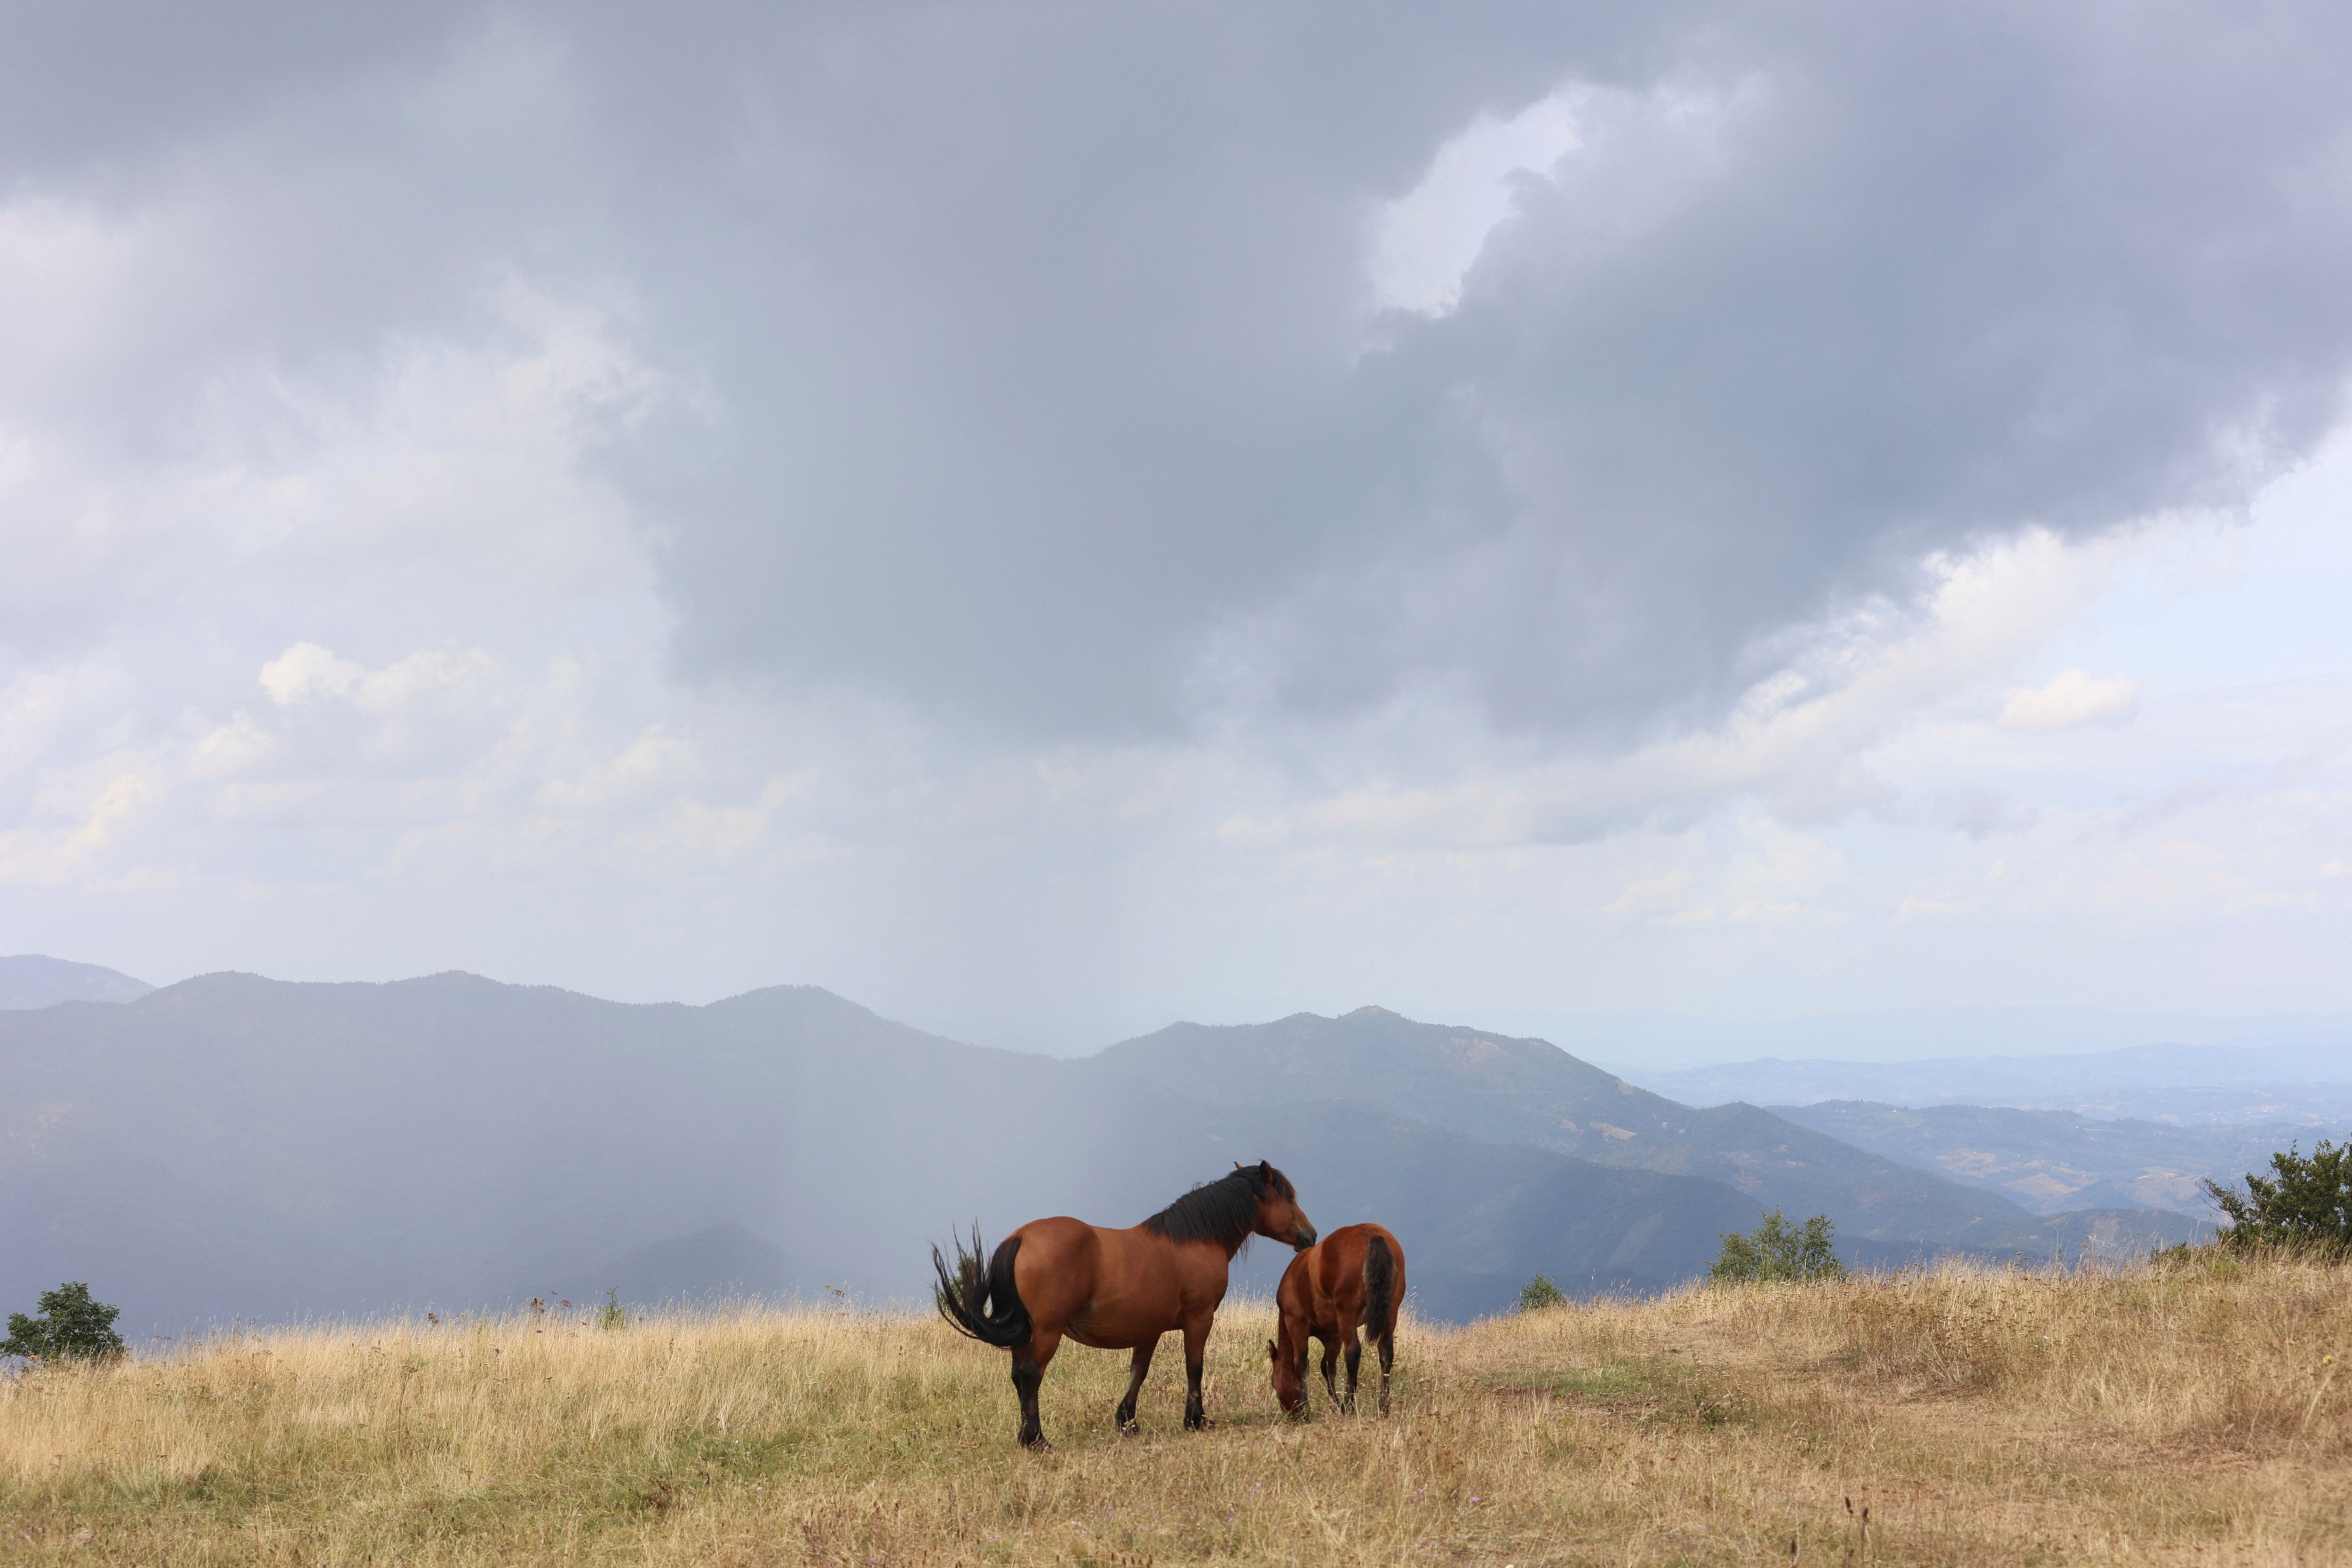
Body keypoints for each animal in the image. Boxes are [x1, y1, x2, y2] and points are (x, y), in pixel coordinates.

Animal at [927, 1161, 1317, 1457]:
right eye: (1288, 1197)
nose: (1310, 1236)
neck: (1195, 1240)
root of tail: (1021, 1237)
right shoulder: (1200, 1320)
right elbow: (1195, 1368)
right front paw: (1196, 1420)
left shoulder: (1150, 1329)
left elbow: (1138, 1372)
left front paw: (1127, 1421)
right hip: (1048, 1332)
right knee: (1030, 1375)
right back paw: (1038, 1441)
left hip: (1025, 1333)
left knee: (1017, 1377)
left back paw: (1025, 1437)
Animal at [1270, 1222, 1392, 1420]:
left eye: (1273, 1383)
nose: (1291, 1414)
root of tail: (1372, 1234)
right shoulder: (1333, 1335)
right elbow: (1328, 1368)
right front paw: (1333, 1403)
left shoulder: (1296, 1324)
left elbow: (1301, 1363)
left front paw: (1306, 1407)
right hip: (1390, 1313)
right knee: (1386, 1352)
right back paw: (1383, 1407)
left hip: (1347, 1315)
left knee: (1353, 1352)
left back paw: (1348, 1406)